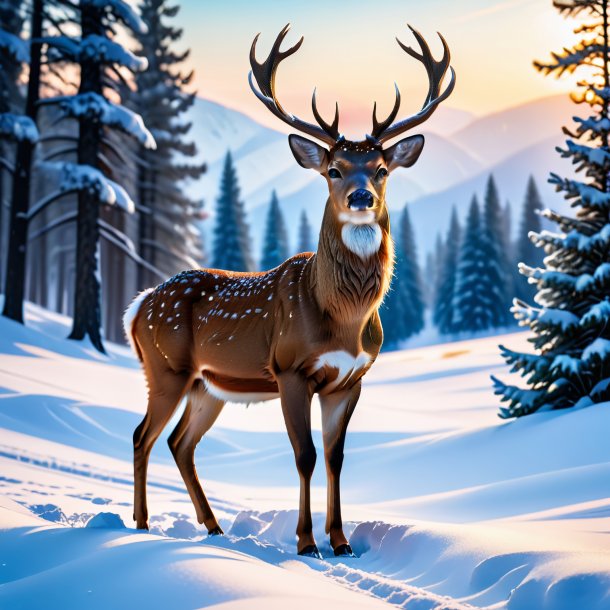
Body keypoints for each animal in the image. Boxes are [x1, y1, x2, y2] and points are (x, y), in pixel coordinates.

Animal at [123, 23, 452, 556]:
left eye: (381, 169)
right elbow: (305, 455)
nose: (361, 197)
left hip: (206, 384)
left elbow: (337, 457)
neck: (345, 319)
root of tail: (137, 306)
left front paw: (341, 541)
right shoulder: (290, 368)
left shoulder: (351, 380)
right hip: (165, 367)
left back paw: (213, 526)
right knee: (142, 436)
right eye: (333, 169)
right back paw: (141, 523)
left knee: (180, 443)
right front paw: (306, 542)